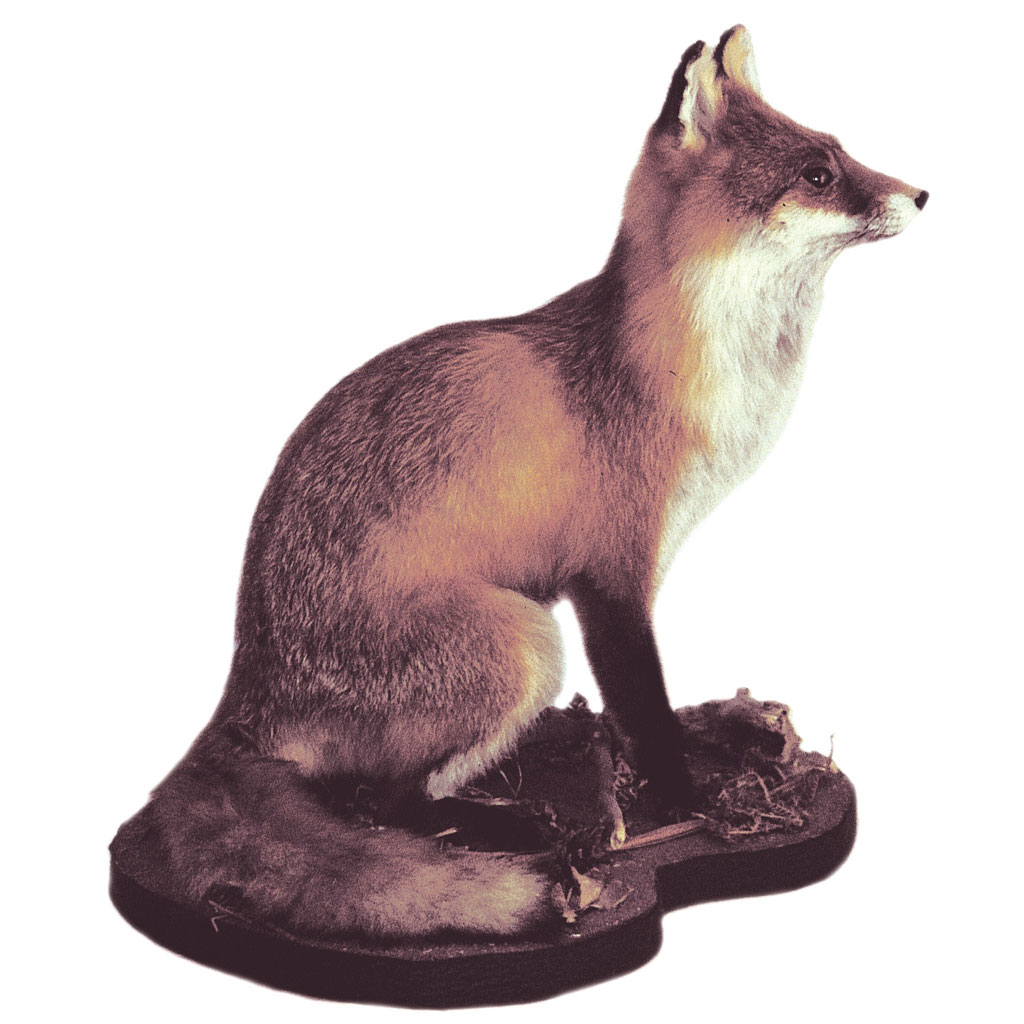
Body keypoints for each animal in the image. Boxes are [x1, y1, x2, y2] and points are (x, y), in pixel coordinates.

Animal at [123, 25, 927, 941]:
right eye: (817, 173)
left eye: (839, 151)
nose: (923, 193)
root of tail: (243, 688)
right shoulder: (609, 577)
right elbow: (646, 710)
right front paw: (690, 801)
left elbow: (640, 717)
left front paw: (707, 749)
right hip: (523, 642)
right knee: (380, 803)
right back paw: (517, 835)